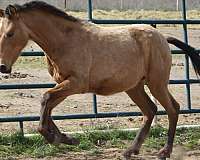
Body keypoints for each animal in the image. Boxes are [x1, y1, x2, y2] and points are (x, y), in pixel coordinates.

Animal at [0, 0, 199, 159]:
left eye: (9, 33)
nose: (3, 67)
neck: (65, 40)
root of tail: (162, 37)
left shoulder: (76, 83)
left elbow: (46, 99)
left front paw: (54, 137)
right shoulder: (65, 84)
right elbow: (47, 104)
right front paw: (66, 138)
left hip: (157, 83)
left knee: (173, 108)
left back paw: (164, 151)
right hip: (134, 87)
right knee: (150, 110)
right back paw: (131, 150)